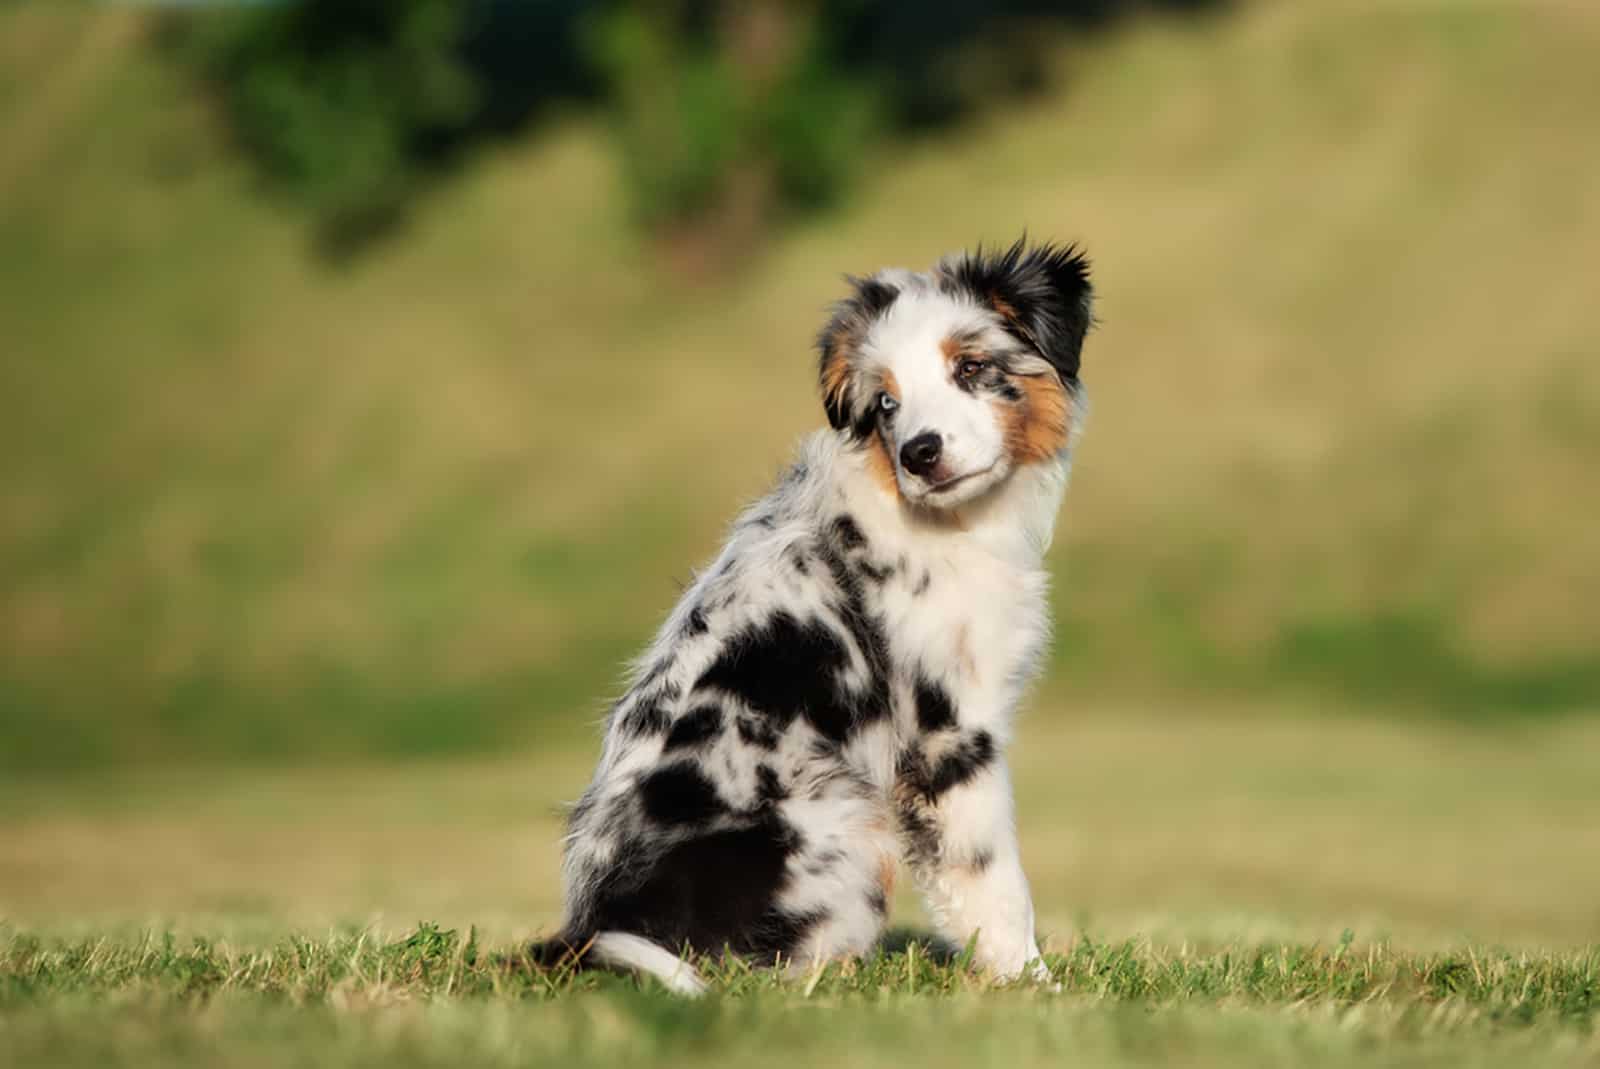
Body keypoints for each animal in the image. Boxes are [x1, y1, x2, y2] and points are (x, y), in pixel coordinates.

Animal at [531, 235, 1094, 992]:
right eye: (886, 401)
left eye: (971, 367)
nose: (920, 453)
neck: (948, 521)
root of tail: (593, 927)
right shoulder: (947, 738)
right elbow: (994, 879)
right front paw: (1035, 985)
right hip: (841, 813)